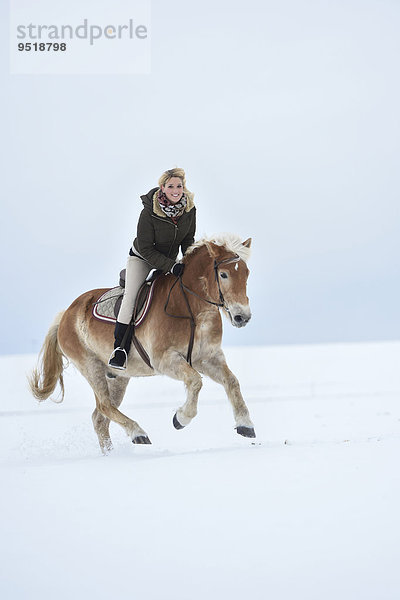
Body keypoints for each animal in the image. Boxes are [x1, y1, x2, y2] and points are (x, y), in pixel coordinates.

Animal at [30, 232, 256, 452]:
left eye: (246, 274)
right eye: (224, 274)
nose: (242, 317)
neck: (191, 308)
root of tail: (66, 314)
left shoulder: (208, 358)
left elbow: (232, 381)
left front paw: (246, 425)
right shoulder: (165, 360)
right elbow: (195, 381)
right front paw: (181, 418)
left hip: (118, 377)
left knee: (100, 418)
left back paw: (112, 453)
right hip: (91, 366)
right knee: (104, 406)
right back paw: (138, 433)